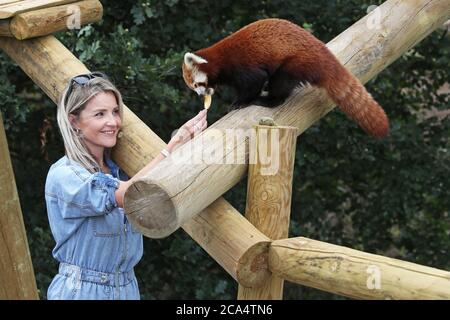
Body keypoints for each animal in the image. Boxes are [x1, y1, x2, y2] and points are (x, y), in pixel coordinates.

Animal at [181, 17, 388, 138]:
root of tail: (322, 52)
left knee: (280, 84)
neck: (220, 61)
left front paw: (240, 102)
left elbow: (254, 81)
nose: (200, 95)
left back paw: (266, 100)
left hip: (295, 63)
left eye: (196, 84)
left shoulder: (242, 66)